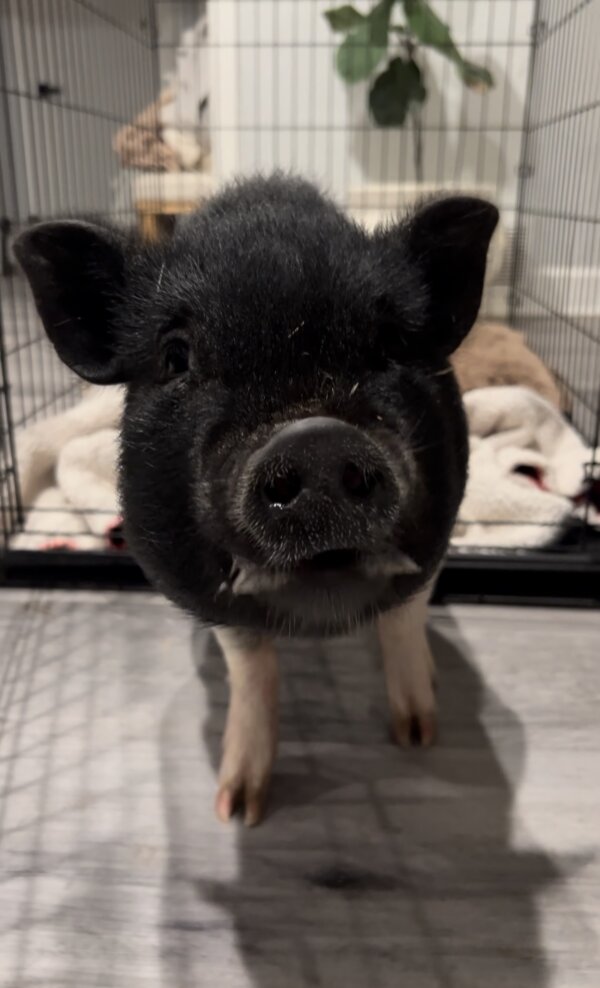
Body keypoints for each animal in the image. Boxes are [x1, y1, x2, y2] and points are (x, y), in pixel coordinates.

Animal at [15, 174, 498, 825]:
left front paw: (419, 735)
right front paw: (238, 810)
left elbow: (404, 614)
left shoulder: (438, 524)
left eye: (393, 342)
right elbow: (252, 667)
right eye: (176, 357)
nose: (315, 438)